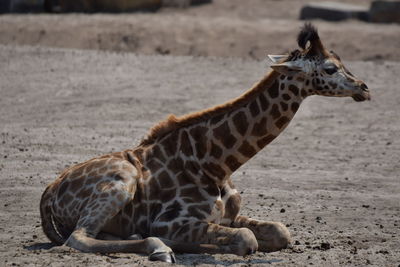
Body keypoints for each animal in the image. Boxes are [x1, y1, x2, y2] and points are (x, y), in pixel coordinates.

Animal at [39, 24, 368, 264]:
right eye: (330, 68)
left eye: (341, 61)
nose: (364, 87)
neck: (217, 163)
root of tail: (50, 191)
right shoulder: (173, 221)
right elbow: (246, 239)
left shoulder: (230, 216)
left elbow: (280, 231)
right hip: (123, 179)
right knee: (78, 237)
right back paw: (160, 247)